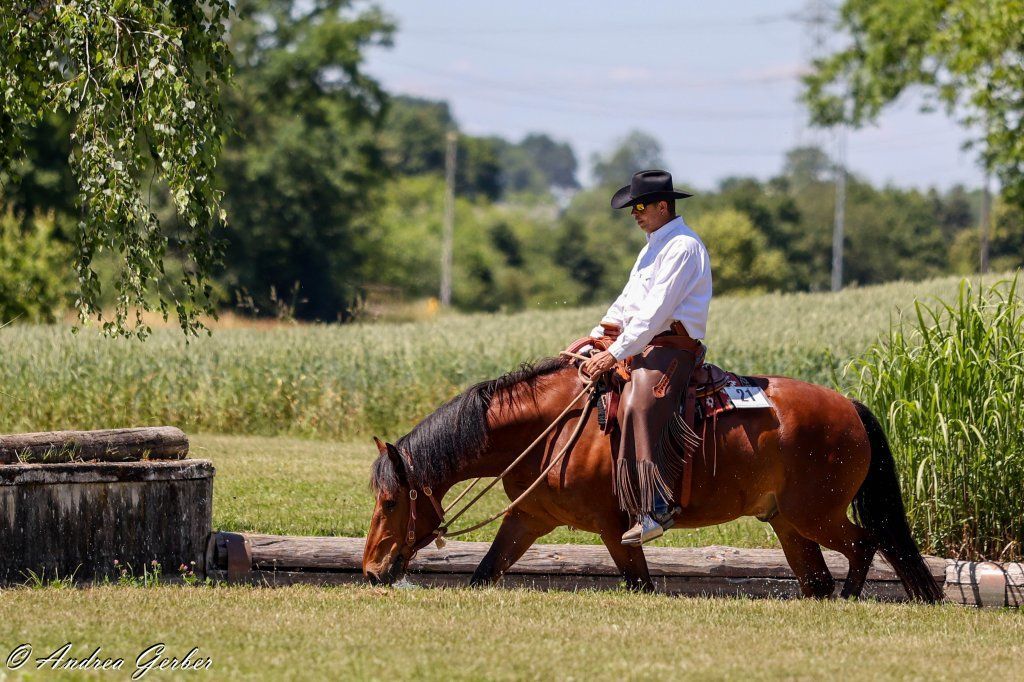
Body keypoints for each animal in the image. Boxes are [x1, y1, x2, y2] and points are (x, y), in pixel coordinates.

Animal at [362, 357, 942, 602]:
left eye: (390, 501)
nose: (369, 571)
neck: (555, 429)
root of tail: (850, 406)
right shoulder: (527, 518)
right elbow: (485, 573)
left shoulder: (613, 528)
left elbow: (640, 583)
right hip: (787, 522)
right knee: (819, 577)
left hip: (815, 514)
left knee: (867, 543)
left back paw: (851, 598)